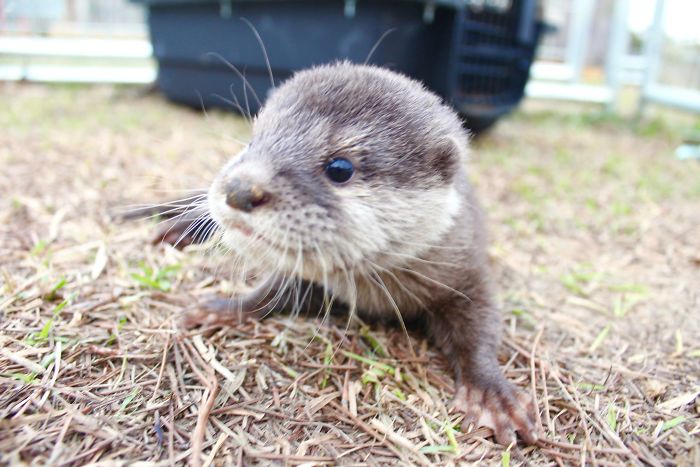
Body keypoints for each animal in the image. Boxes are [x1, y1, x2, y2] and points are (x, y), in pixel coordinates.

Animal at [154, 62, 536, 446]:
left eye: (340, 168)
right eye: (253, 141)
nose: (240, 189)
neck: (374, 294)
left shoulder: (466, 269)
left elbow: (481, 326)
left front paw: (491, 393)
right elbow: (269, 292)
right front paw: (222, 308)